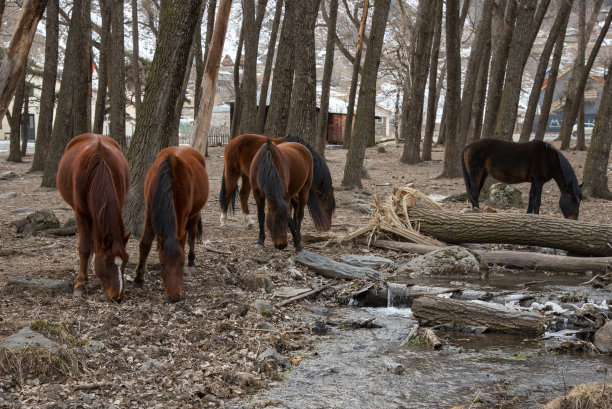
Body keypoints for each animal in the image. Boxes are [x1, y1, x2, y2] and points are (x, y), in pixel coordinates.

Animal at [56, 132, 130, 302]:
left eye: (125, 262)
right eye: (106, 262)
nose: (118, 296)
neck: (99, 166)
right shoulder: (82, 214)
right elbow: (84, 248)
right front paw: (81, 283)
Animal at [134, 145, 209, 302]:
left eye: (181, 263)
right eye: (162, 263)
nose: (174, 297)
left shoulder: (183, 215)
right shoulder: (149, 213)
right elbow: (145, 244)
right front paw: (139, 278)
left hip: (195, 213)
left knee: (192, 235)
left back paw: (192, 260)